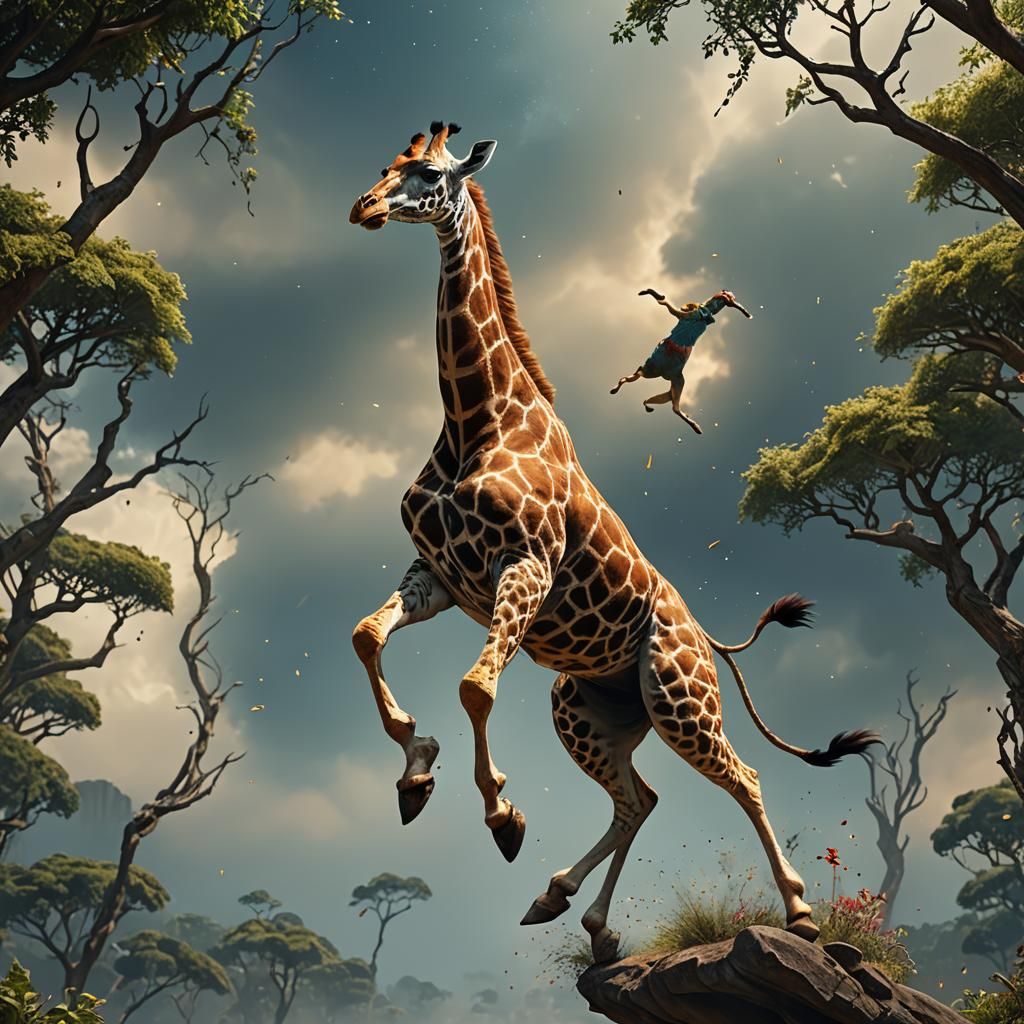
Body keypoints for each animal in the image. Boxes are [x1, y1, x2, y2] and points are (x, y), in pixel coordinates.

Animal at [348, 122, 878, 963]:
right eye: (386, 166)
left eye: (429, 174)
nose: (364, 208)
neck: (475, 418)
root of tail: (709, 640)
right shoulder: (437, 575)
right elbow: (368, 636)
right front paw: (415, 774)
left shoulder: (524, 565)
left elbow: (475, 687)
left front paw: (501, 815)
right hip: (590, 710)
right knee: (640, 798)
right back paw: (575, 914)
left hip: (678, 698)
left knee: (744, 778)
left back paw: (799, 917)